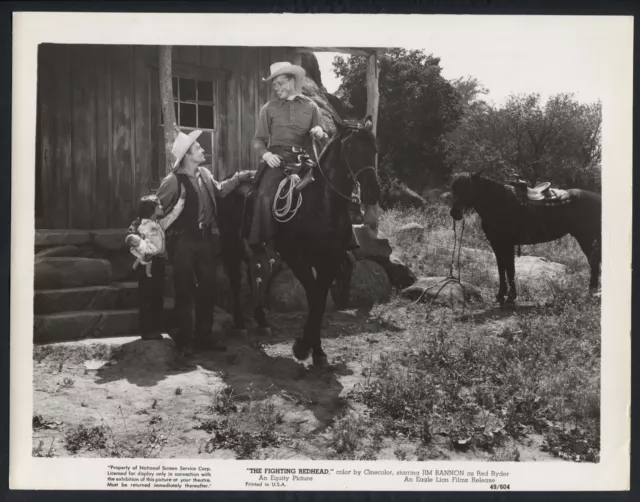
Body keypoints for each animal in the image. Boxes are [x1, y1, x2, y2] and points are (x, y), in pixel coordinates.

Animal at [220, 116, 380, 366]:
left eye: (374, 149)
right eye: (351, 149)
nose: (373, 192)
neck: (321, 206)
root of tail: (226, 181)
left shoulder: (329, 259)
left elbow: (320, 299)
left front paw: (317, 351)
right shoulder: (297, 258)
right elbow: (314, 296)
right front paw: (304, 347)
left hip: (260, 251)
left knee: (257, 277)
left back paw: (262, 321)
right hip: (231, 247)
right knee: (236, 281)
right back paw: (240, 324)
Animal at [450, 173, 600, 304]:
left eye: (467, 188)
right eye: (453, 189)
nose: (454, 213)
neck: (499, 203)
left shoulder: (507, 244)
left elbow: (510, 269)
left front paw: (511, 298)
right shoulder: (496, 243)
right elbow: (501, 269)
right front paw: (501, 295)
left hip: (585, 237)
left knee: (594, 262)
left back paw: (591, 292)